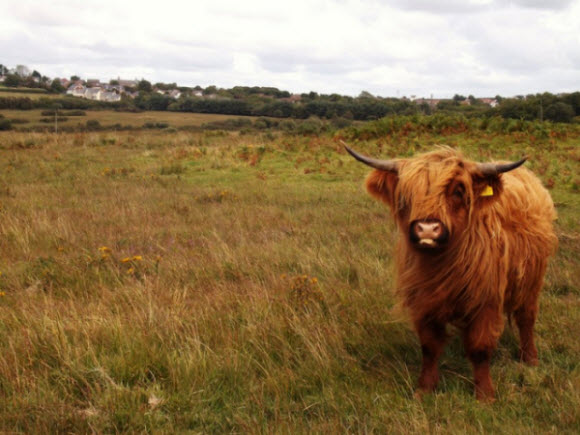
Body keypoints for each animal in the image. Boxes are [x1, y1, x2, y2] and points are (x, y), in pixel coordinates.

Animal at [344, 144, 556, 402]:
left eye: (457, 191)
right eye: (406, 194)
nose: (427, 229)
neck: (443, 264)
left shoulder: (485, 300)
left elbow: (480, 348)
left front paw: (485, 395)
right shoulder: (424, 301)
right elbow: (429, 347)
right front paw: (424, 388)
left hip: (532, 281)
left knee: (527, 318)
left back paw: (530, 358)